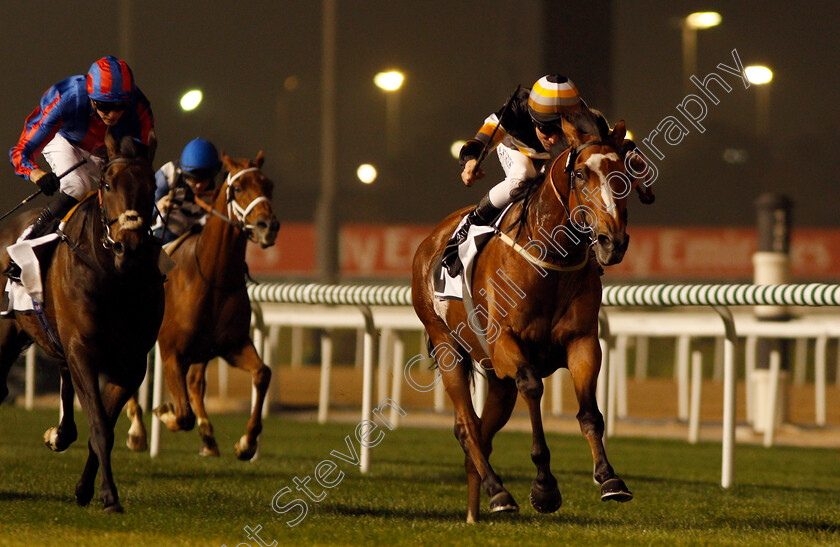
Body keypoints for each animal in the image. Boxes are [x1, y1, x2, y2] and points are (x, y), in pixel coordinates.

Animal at [0, 131, 164, 512]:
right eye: (107, 183)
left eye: (151, 186)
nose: (128, 247)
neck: (116, 278)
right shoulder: (83, 349)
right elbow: (100, 425)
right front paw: (109, 495)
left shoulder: (132, 363)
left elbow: (103, 426)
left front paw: (88, 489)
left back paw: (60, 434)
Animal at [124, 152, 280, 460]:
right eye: (238, 187)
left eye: (268, 185)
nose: (268, 226)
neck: (212, 278)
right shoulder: (171, 352)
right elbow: (182, 414)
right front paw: (164, 412)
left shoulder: (233, 345)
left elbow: (262, 373)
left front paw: (247, 443)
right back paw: (137, 430)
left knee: (197, 384)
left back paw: (208, 437)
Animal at [410, 119, 652, 524]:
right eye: (581, 174)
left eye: (625, 173)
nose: (612, 242)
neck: (550, 257)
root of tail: (430, 241)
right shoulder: (507, 344)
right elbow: (533, 387)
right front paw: (544, 487)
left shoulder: (583, 342)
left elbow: (590, 413)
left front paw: (609, 479)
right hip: (447, 347)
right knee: (467, 428)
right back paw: (498, 491)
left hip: (495, 376)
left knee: (481, 433)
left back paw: (476, 511)